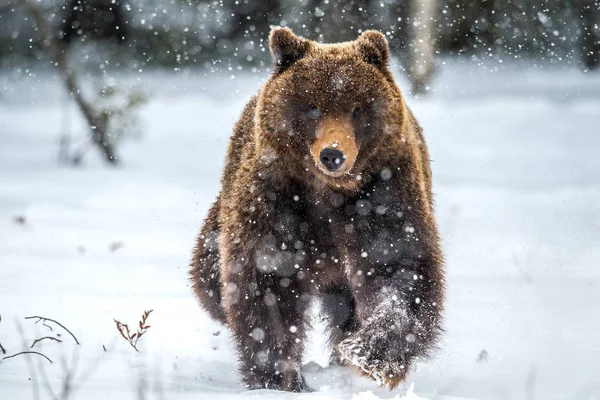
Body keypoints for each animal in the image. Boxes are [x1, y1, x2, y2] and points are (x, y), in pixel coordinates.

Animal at [190, 26, 442, 392]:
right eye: (313, 108)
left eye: (356, 109)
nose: (332, 154)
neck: (326, 193)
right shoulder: (277, 202)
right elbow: (267, 281)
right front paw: (277, 377)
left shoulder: (383, 193)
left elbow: (397, 265)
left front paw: (368, 353)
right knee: (209, 276)